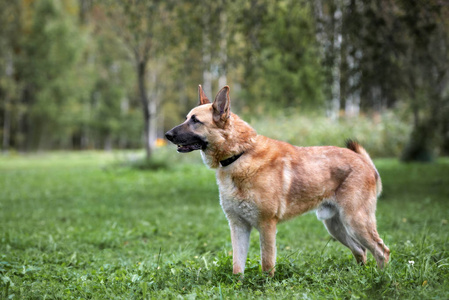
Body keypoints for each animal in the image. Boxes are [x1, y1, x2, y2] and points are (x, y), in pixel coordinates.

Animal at [164, 85, 388, 276]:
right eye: (187, 118)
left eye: (195, 121)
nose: (167, 135)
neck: (240, 154)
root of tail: (364, 161)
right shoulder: (238, 226)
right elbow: (237, 267)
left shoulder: (267, 225)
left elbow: (267, 264)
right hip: (336, 227)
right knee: (361, 251)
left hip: (355, 222)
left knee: (382, 251)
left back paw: (380, 280)